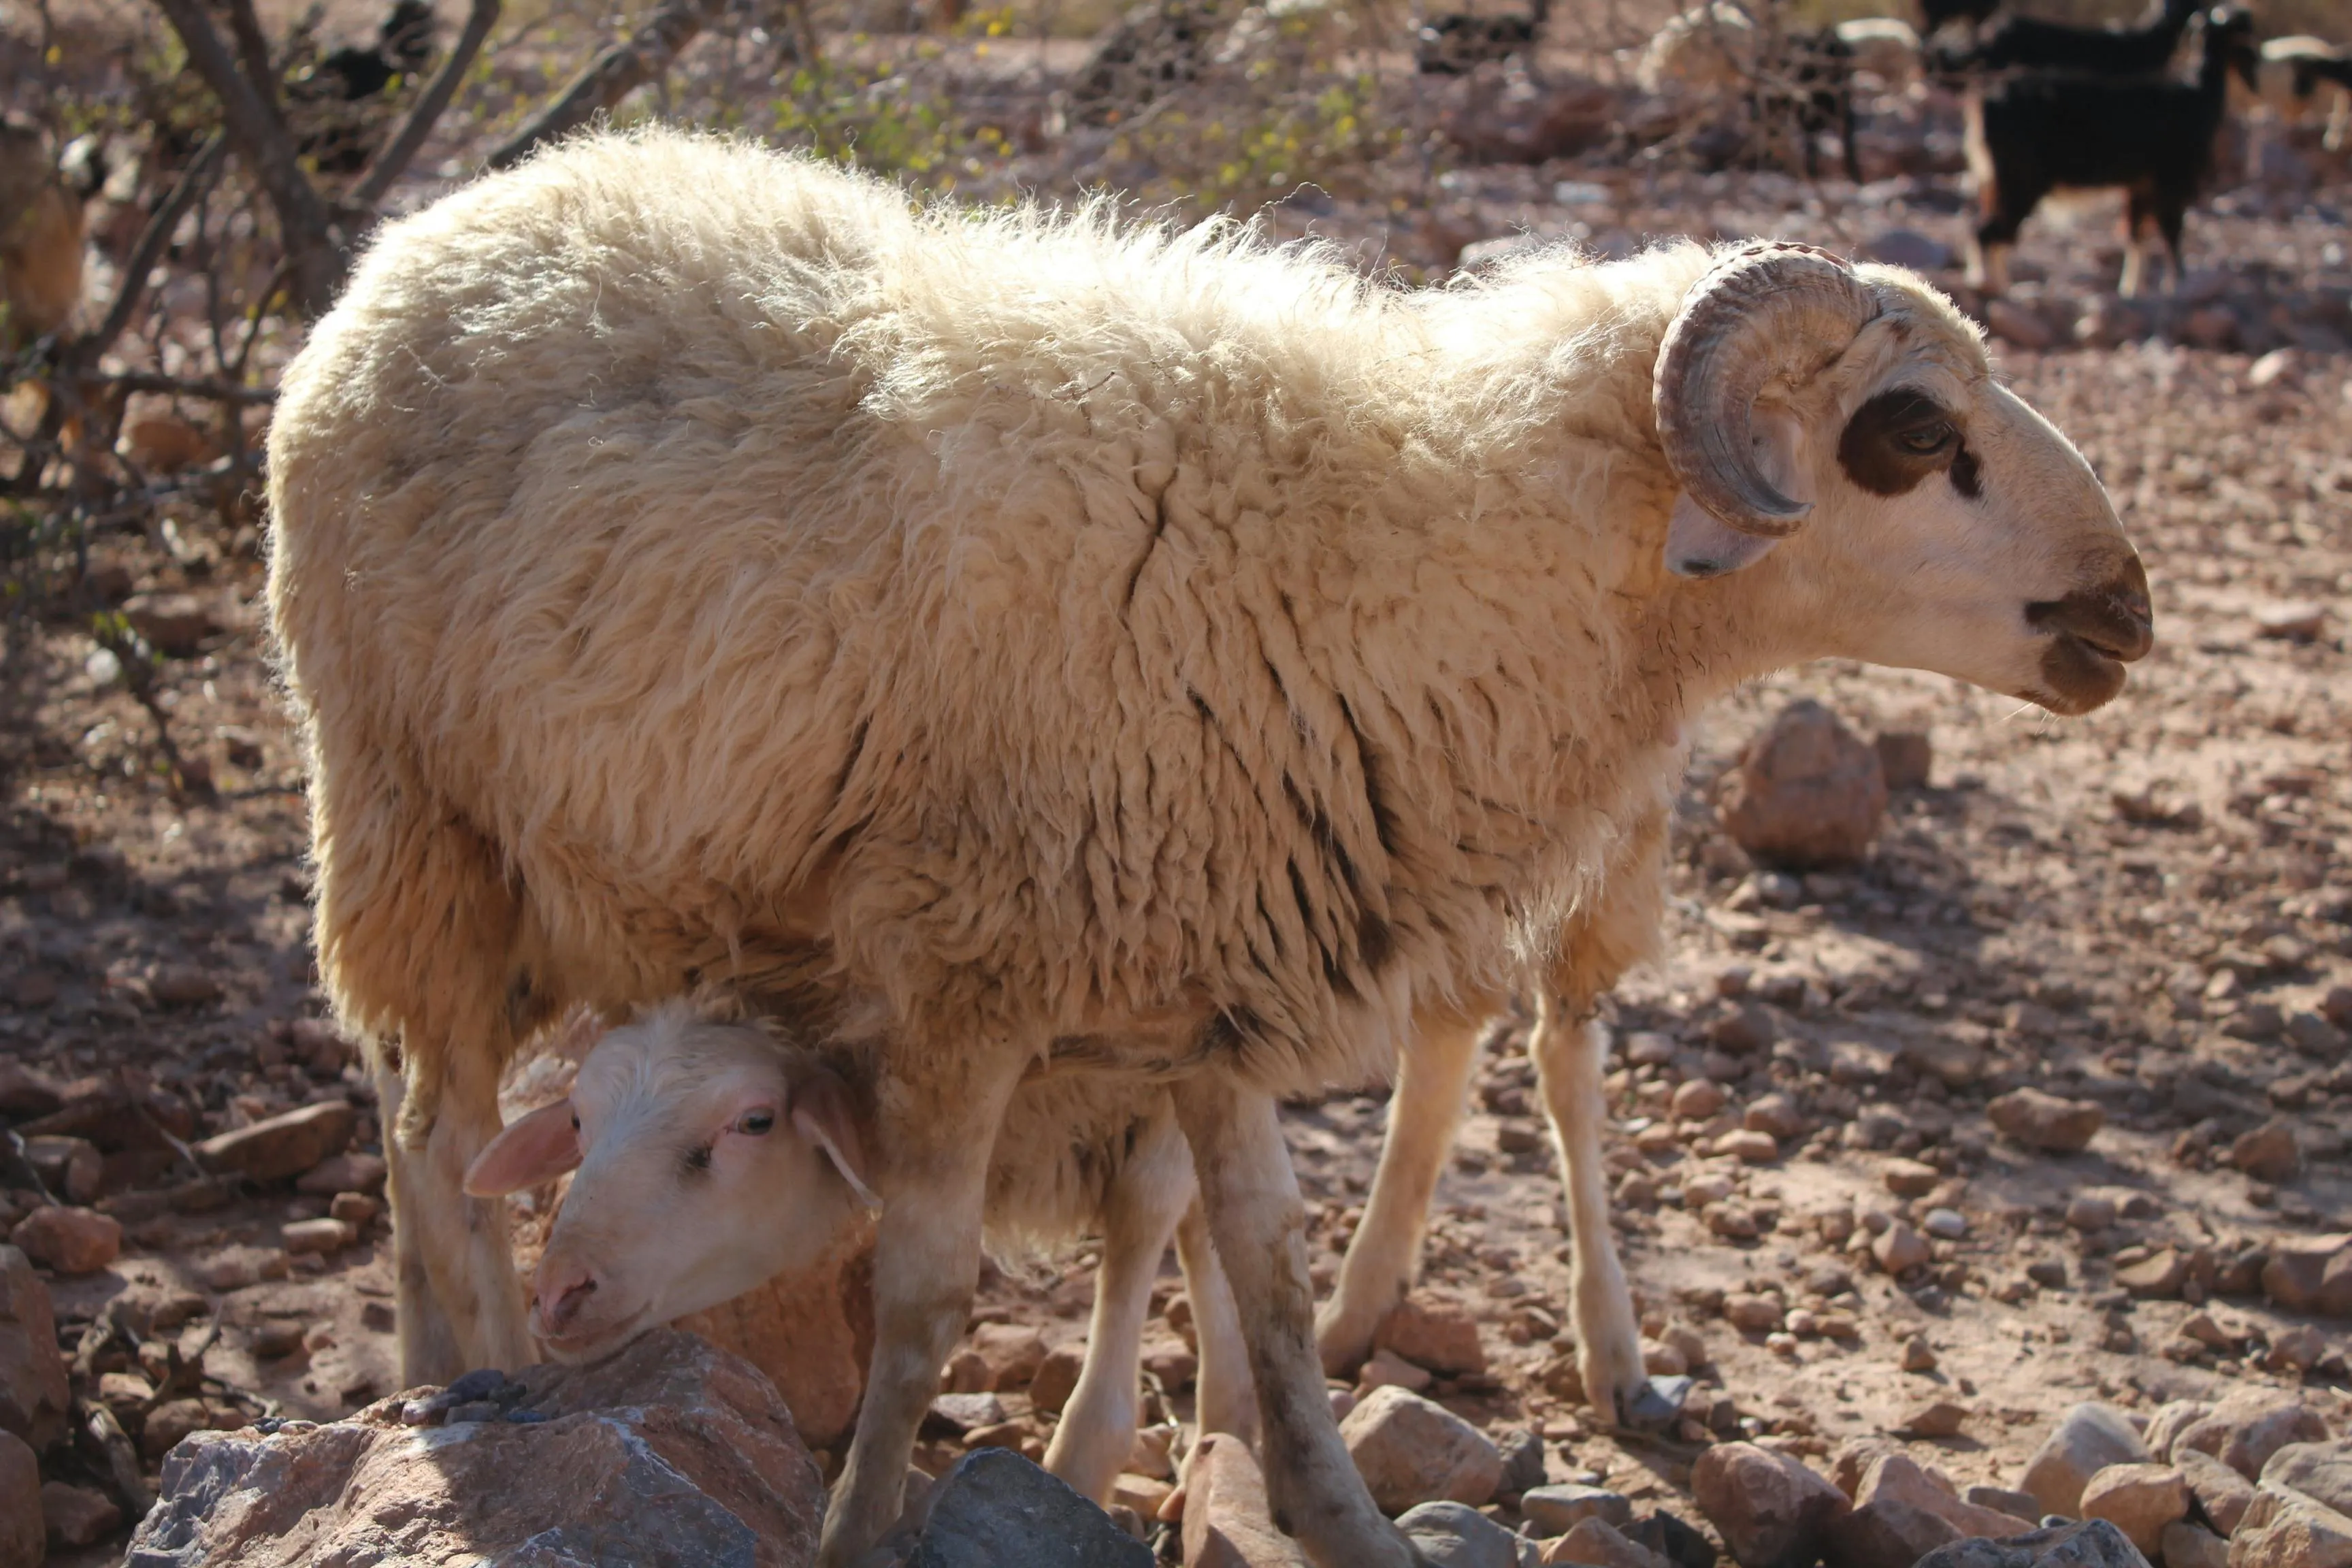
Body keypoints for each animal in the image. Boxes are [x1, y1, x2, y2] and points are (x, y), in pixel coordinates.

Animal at [465, 1002, 1256, 1507]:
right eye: (577, 1120)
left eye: (756, 1122)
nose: (559, 1293)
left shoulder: (1173, 1054)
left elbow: (1149, 1210)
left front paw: (1083, 1461)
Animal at [1964, 6, 2259, 297]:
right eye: (2244, 36)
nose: (2254, 71)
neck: (2199, 95)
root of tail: (1985, 105)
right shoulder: (2171, 180)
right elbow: (2171, 232)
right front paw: (2178, 285)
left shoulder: (2140, 186)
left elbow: (2137, 235)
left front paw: (2132, 290)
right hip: (2022, 181)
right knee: (1987, 231)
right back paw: (1992, 286)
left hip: (1996, 182)